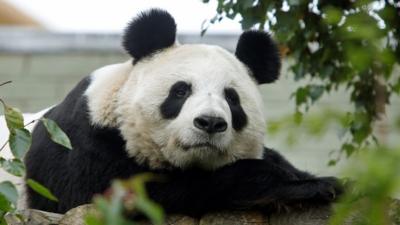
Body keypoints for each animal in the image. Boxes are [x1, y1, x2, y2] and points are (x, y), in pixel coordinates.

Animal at [25, 8, 342, 216]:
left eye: (232, 99)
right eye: (180, 91)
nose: (210, 123)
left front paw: (318, 181)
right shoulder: (84, 146)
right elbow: (132, 194)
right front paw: (302, 187)